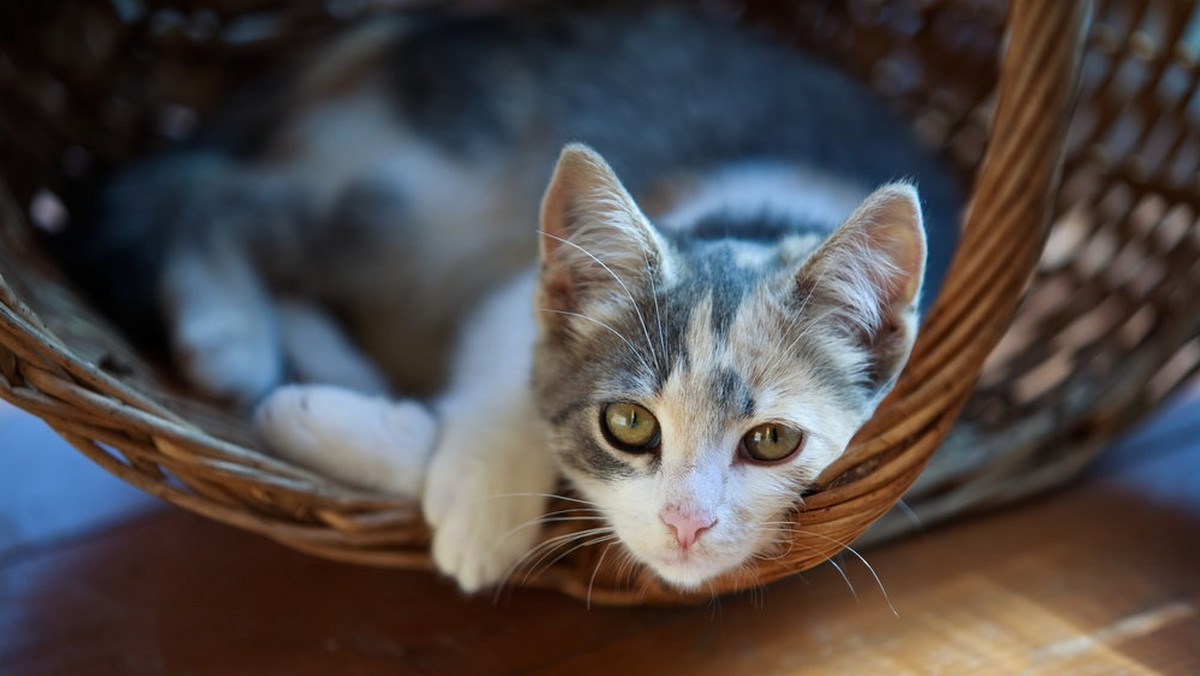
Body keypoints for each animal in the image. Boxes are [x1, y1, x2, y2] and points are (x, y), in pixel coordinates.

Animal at [87, 5, 964, 593]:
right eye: (630, 424)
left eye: (774, 441)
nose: (685, 523)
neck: (754, 217)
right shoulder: (522, 286)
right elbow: (512, 376)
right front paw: (476, 499)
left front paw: (344, 426)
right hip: (424, 194)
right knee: (209, 196)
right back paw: (230, 330)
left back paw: (332, 364)